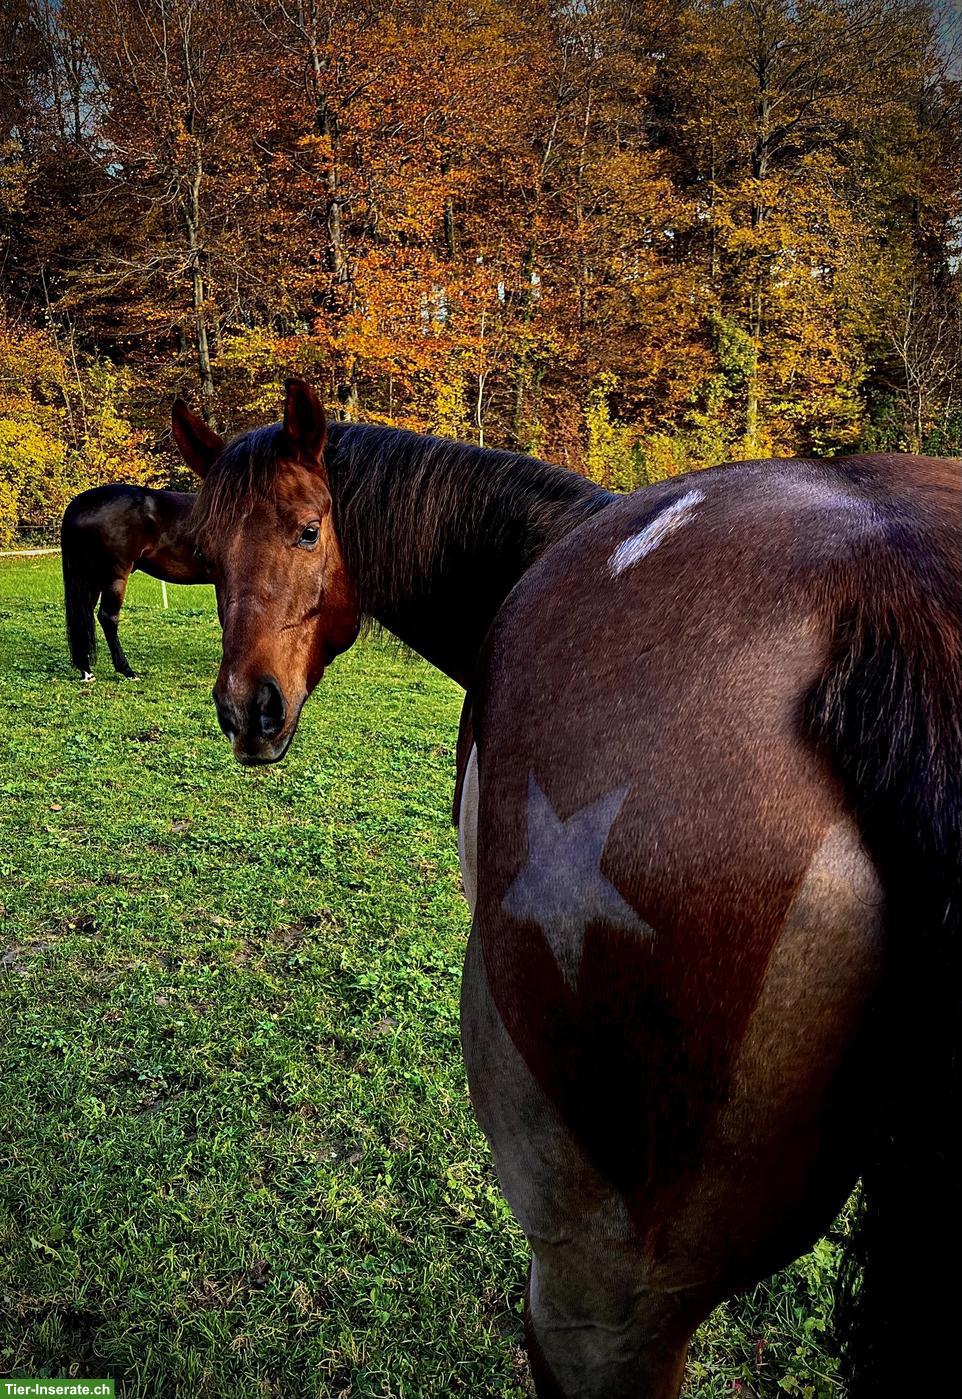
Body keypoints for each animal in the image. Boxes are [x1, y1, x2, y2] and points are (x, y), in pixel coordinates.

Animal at [60, 483, 209, 679]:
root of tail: (79, 503)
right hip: (114, 577)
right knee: (107, 618)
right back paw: (126, 670)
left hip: (91, 579)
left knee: (84, 617)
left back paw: (86, 671)